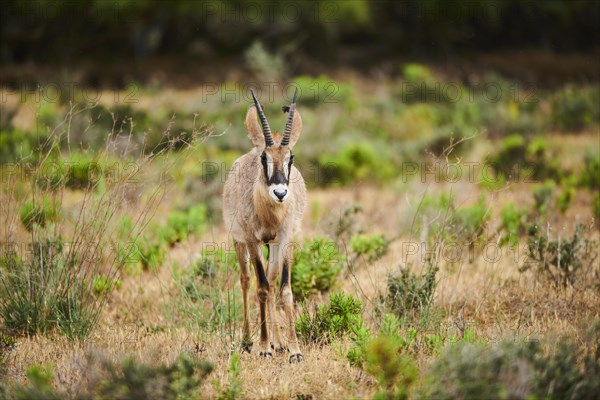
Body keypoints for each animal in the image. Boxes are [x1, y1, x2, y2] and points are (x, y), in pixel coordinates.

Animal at [220, 88, 304, 362]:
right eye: (264, 157)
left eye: (290, 157)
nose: (280, 193)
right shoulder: (252, 241)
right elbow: (262, 288)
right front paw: (264, 347)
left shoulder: (287, 238)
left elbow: (284, 289)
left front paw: (294, 350)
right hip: (239, 242)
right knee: (247, 280)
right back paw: (249, 341)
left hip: (273, 245)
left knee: (273, 277)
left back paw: (279, 342)